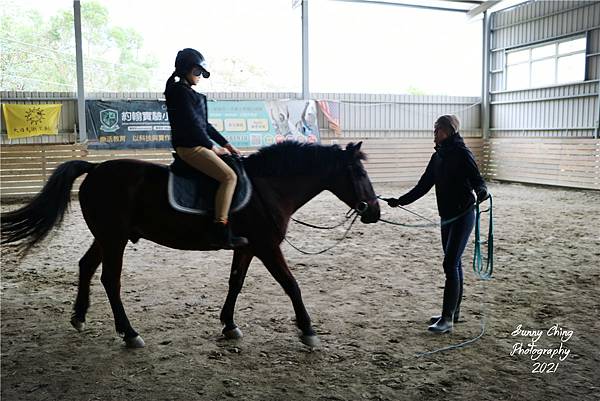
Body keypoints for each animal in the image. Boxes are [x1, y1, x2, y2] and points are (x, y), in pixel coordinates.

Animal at [0, 141, 380, 346]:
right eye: (360, 174)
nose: (375, 211)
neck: (267, 187)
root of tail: (95, 169)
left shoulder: (247, 246)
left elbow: (236, 283)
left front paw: (229, 325)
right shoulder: (267, 246)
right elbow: (291, 285)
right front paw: (308, 330)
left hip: (106, 236)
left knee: (86, 267)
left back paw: (79, 317)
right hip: (114, 238)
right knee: (110, 279)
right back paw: (129, 334)